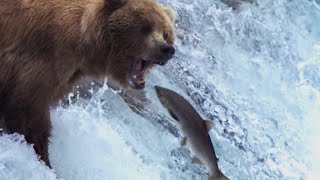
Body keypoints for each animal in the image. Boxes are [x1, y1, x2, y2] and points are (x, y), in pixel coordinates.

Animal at [0, 0, 175, 167]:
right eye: (145, 27)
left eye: (166, 33)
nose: (167, 49)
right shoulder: (41, 57)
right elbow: (28, 111)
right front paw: (44, 159)